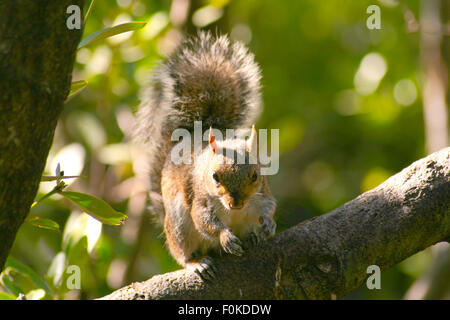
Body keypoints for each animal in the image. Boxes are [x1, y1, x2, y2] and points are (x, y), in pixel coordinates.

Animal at [134, 31, 276, 278]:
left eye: (256, 175)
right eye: (215, 176)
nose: (236, 203)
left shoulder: (263, 193)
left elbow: (270, 206)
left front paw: (268, 224)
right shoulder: (199, 199)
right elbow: (204, 221)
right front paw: (225, 237)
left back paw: (252, 236)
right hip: (179, 228)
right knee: (184, 253)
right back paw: (197, 262)